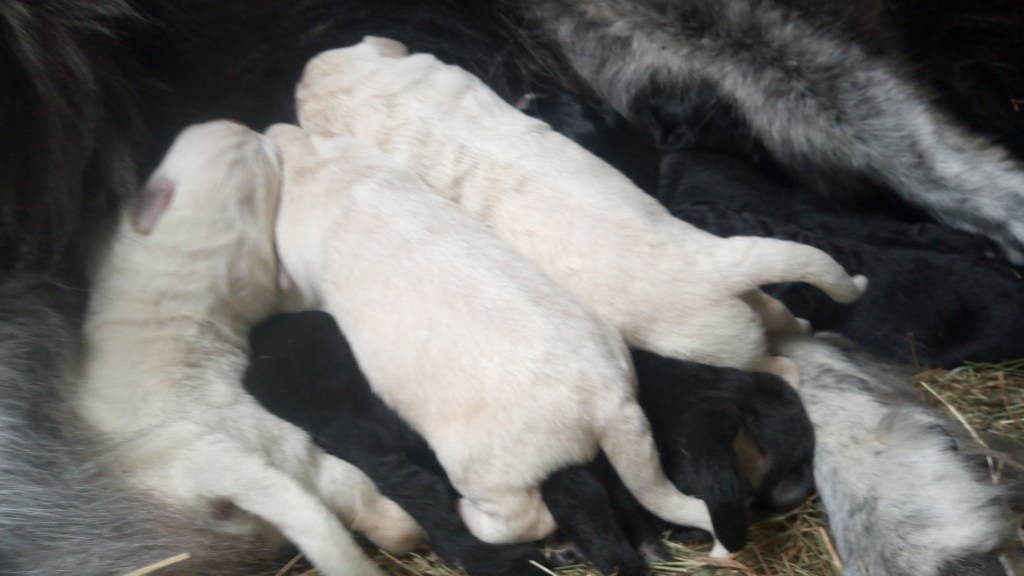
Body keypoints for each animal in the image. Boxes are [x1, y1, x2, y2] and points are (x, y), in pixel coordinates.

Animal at [74, 120, 421, 576]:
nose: (239, 124)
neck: (194, 242)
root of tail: (212, 462)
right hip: (294, 453)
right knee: (353, 494)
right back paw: (403, 527)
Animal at [267, 122, 723, 551]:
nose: (275, 129)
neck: (329, 170)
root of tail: (609, 403)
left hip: (486, 472)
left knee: (525, 518)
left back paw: (470, 516)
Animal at [293, 36, 866, 382]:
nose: (299, 79)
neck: (388, 98)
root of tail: (713, 267)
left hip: (716, 343)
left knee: (768, 363)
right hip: (747, 300)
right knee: (779, 313)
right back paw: (803, 324)